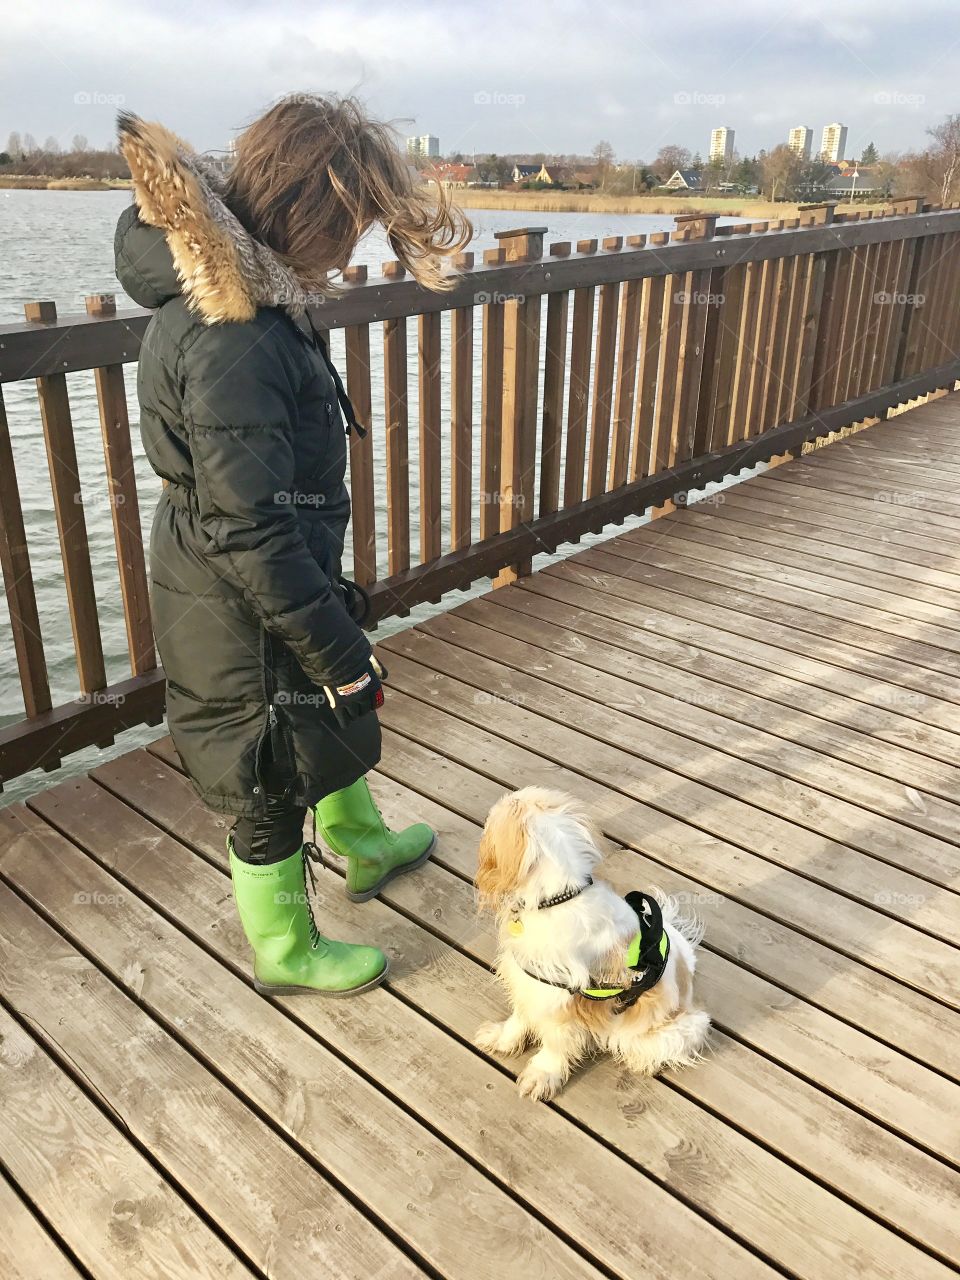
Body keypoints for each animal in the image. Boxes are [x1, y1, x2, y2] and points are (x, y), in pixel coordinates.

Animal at [478, 783, 711, 1105]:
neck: (560, 897)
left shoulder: (560, 1001)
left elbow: (554, 1045)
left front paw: (541, 1076)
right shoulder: (528, 983)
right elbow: (519, 1016)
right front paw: (502, 1039)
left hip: (680, 1029)